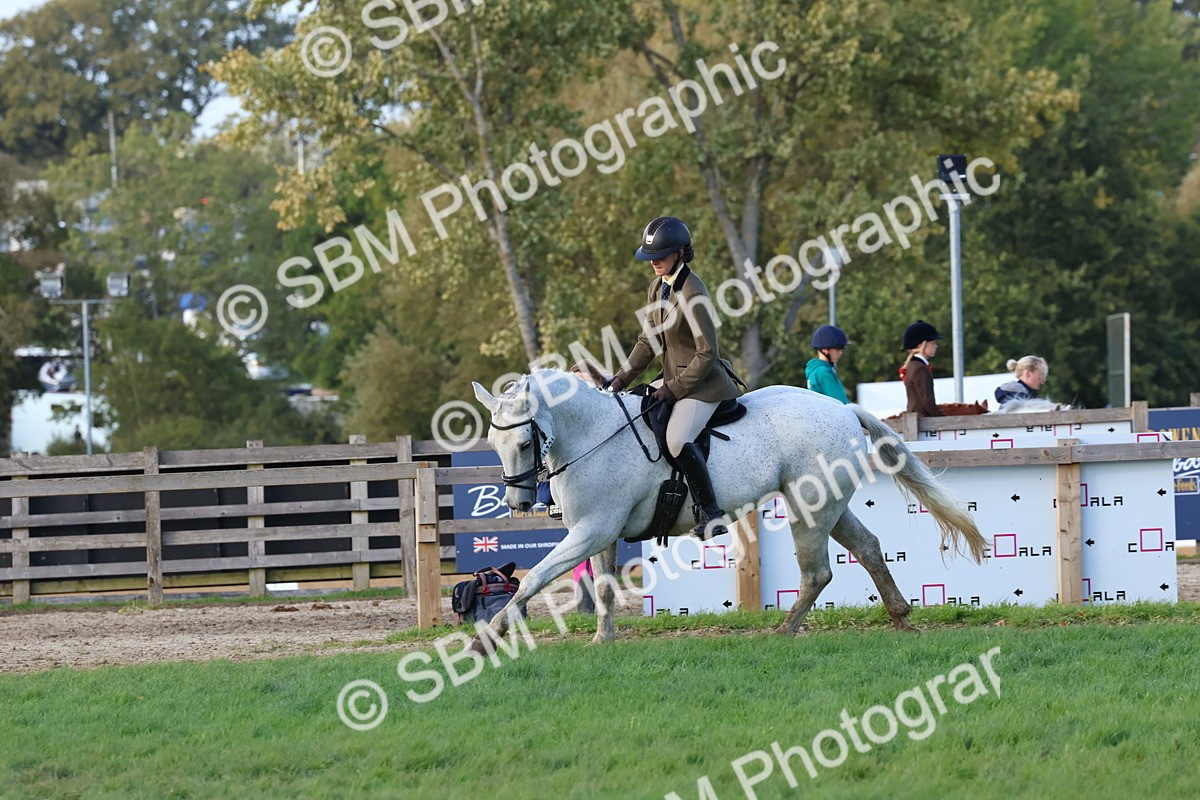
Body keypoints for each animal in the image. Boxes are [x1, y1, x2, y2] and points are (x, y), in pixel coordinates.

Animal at [470, 369, 987, 647]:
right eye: (493, 442)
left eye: (523, 441)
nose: (518, 501)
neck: (594, 435)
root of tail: (841, 409)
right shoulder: (596, 532)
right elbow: (602, 586)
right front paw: (603, 640)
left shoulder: (592, 530)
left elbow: (534, 579)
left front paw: (486, 638)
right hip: (828, 505)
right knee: (868, 548)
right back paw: (901, 618)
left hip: (808, 506)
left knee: (817, 571)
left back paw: (784, 632)